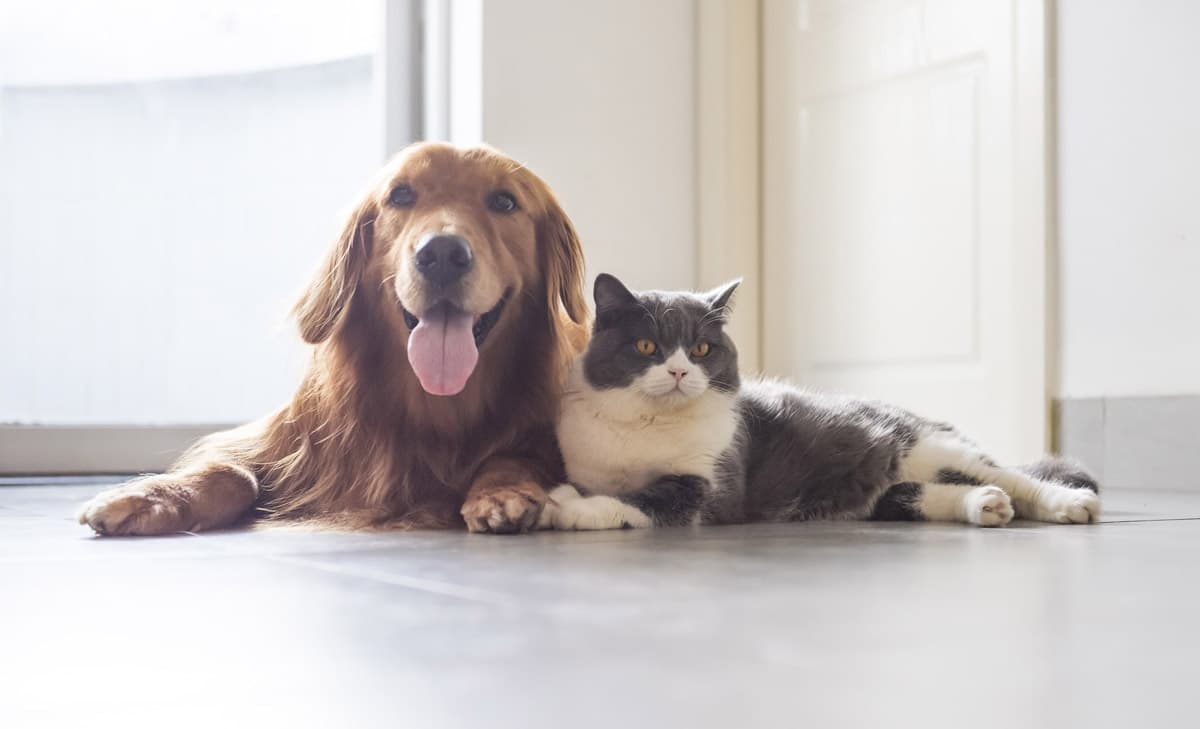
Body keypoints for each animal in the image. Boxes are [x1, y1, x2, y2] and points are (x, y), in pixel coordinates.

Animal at [75, 142, 585, 532]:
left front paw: (502, 492)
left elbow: (512, 455)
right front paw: (152, 495)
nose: (441, 254)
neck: (433, 410)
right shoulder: (285, 442)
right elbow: (235, 470)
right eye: (401, 195)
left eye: (504, 202)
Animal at [540, 273, 1099, 529]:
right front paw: (564, 497)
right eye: (645, 347)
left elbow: (645, 500)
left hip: (930, 446)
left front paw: (567, 508)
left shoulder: (710, 486)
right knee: (916, 495)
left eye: (701, 349)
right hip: (885, 487)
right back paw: (985, 505)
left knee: (1017, 477)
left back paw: (1068, 504)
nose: (678, 371)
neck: (647, 424)